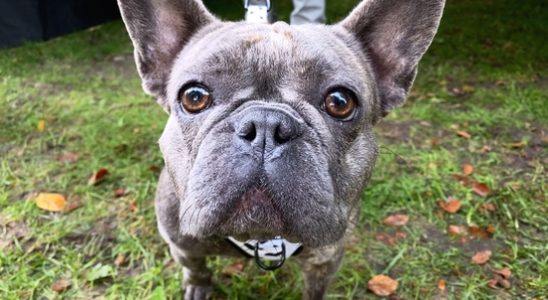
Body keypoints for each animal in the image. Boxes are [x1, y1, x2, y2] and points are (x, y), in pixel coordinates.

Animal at [116, 0, 446, 296]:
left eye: (340, 102)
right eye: (193, 97)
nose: (265, 125)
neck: (263, 238)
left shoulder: (326, 259)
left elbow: (315, 290)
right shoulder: (182, 246)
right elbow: (196, 269)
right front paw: (198, 287)